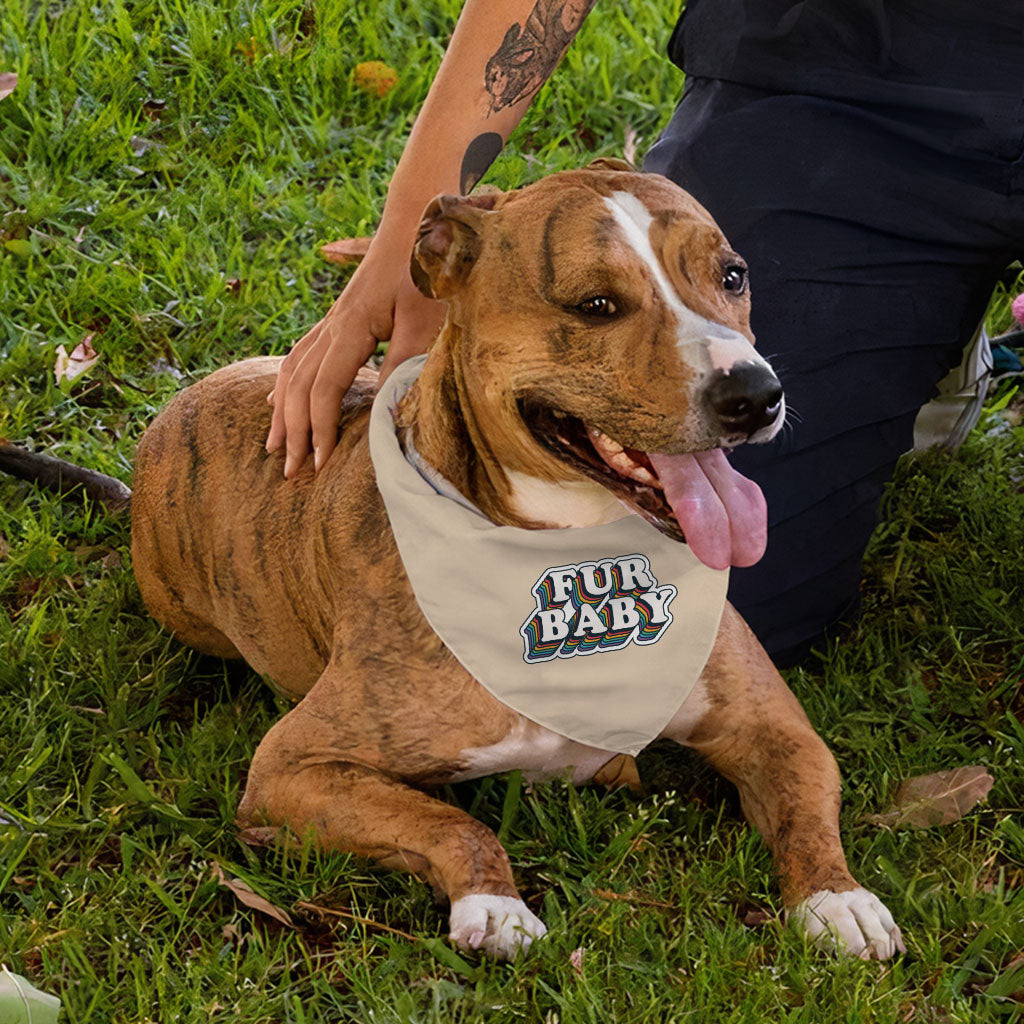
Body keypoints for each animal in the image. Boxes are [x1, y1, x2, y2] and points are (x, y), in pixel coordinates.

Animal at [123, 159, 901, 958]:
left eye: (733, 276)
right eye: (596, 305)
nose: (755, 393)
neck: (577, 561)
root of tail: (182, 401)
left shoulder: (774, 727)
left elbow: (806, 805)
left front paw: (838, 897)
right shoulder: (293, 766)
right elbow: (450, 820)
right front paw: (493, 903)